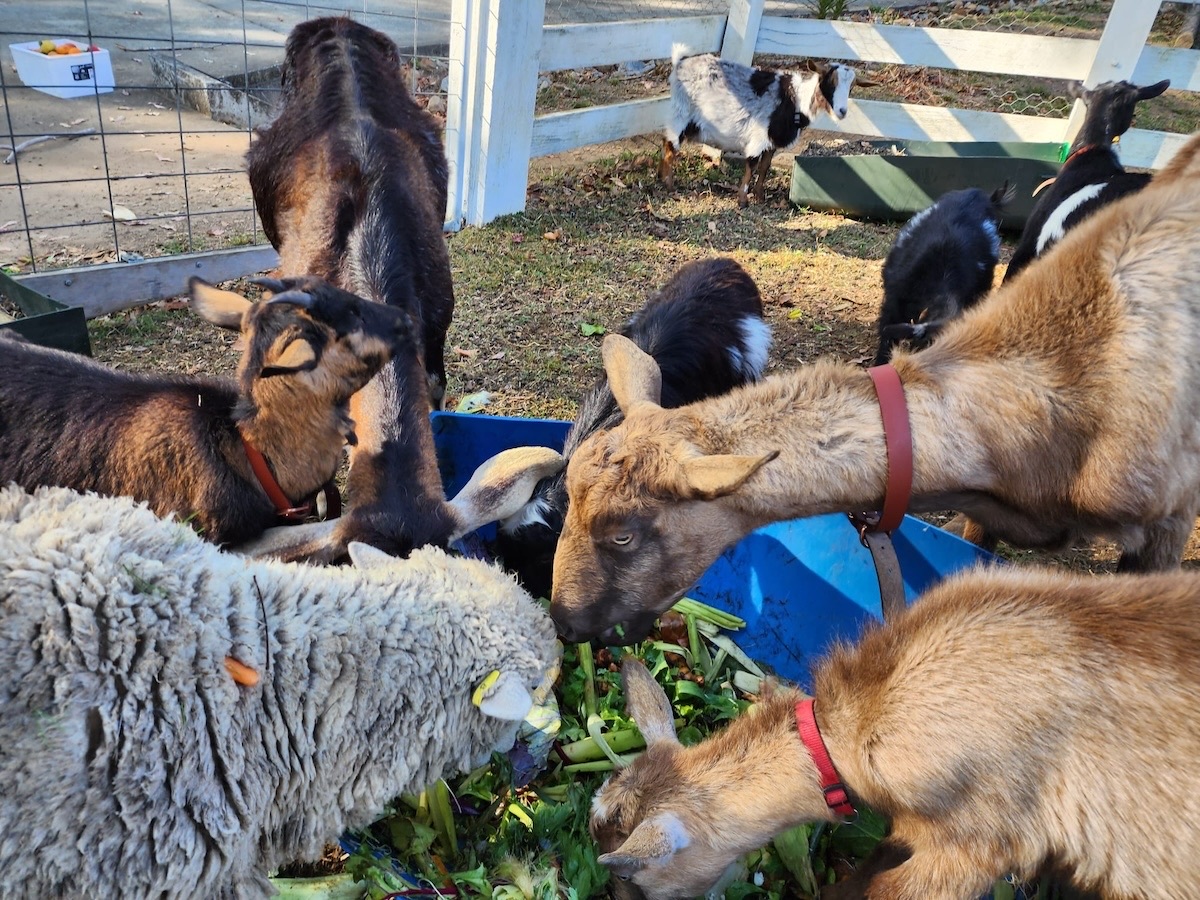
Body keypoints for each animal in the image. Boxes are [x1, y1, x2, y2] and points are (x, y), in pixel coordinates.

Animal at [661, 50, 860, 207]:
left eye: (851, 87)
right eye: (831, 82)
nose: (842, 111)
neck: (795, 100)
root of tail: (681, 61)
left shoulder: (772, 141)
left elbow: (765, 167)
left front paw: (759, 196)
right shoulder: (758, 137)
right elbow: (752, 166)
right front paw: (743, 200)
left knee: (666, 142)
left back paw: (660, 176)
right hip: (682, 114)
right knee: (671, 146)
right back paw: (669, 186)